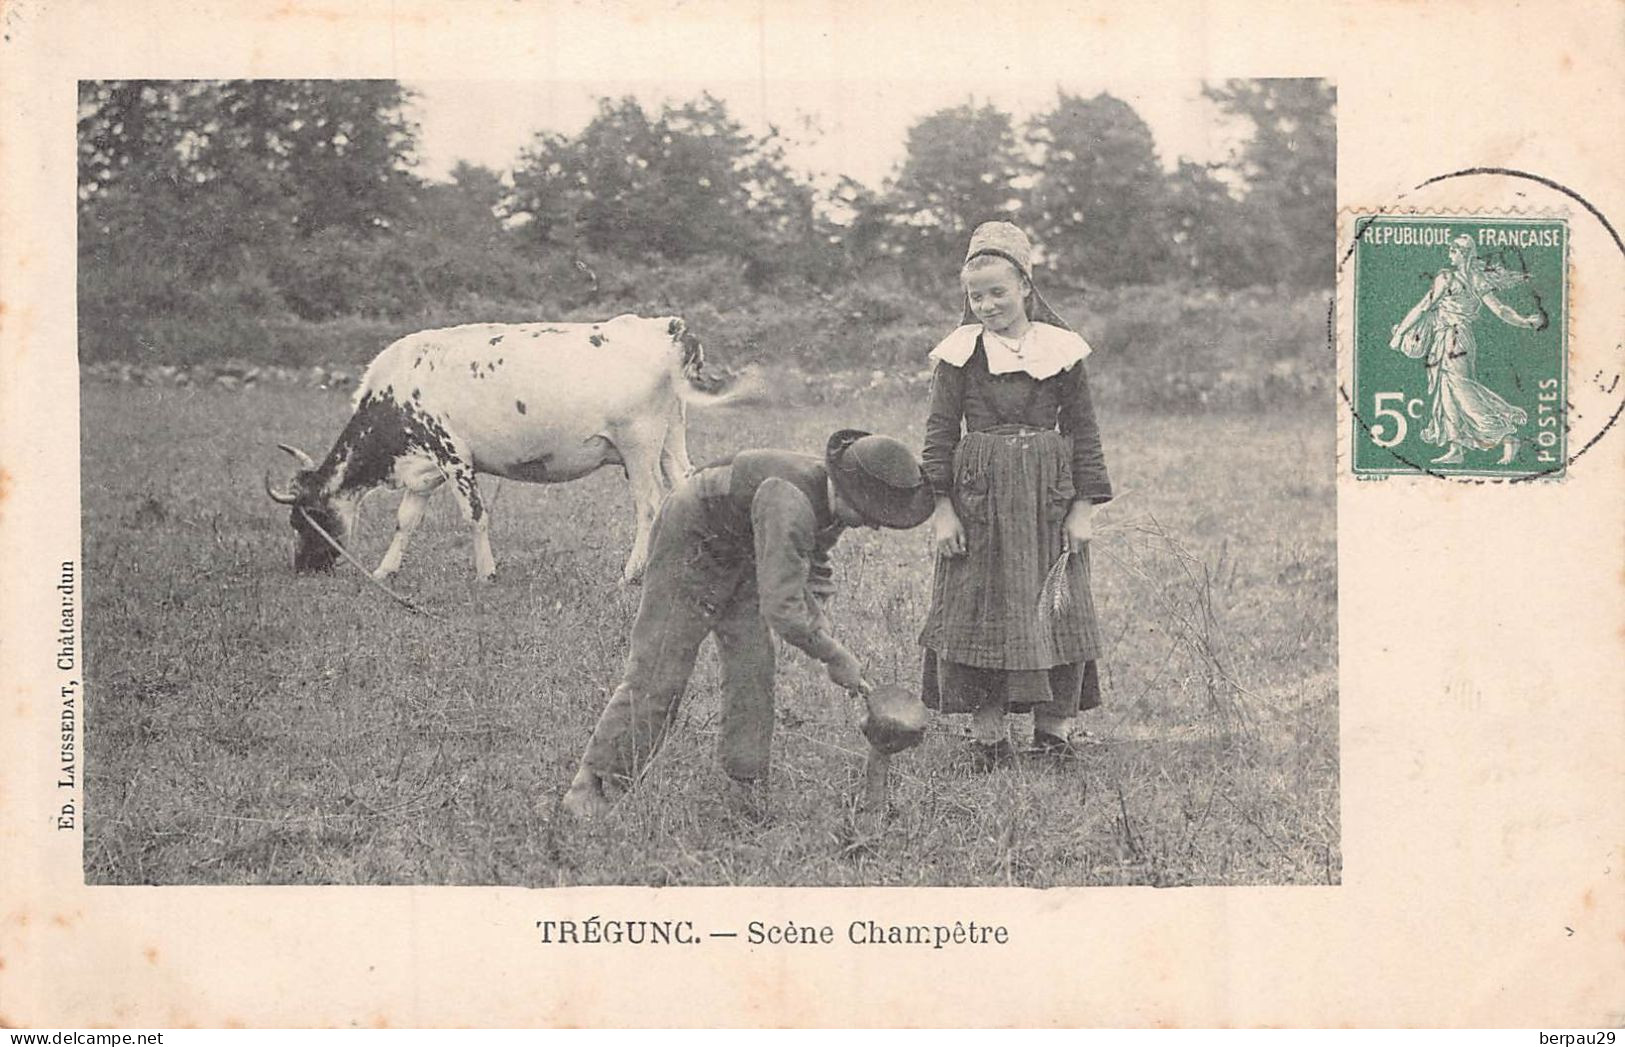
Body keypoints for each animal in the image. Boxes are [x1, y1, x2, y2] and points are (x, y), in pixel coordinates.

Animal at [266, 315, 747, 585]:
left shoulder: (453, 454)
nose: (303, 569)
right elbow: (406, 521)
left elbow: (475, 516)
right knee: (686, 484)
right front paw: (386, 571)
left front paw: (486, 572)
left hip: (639, 442)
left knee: (649, 505)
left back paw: (632, 574)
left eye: (301, 519)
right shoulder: (424, 468)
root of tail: (667, 326)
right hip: (669, 438)